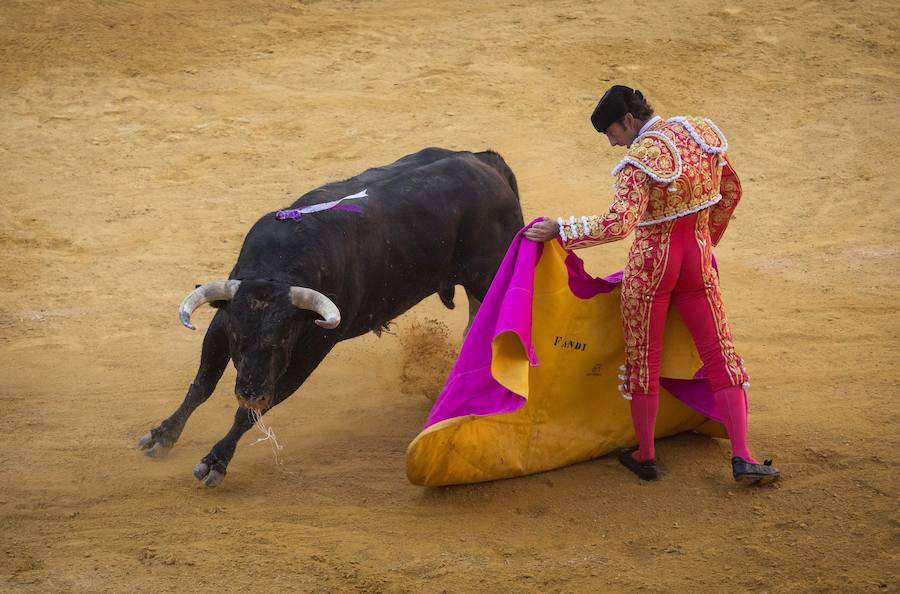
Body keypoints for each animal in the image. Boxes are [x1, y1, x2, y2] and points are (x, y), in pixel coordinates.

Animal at [137, 147, 524, 486]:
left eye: (282, 340)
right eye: (238, 339)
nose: (250, 393)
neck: (279, 269)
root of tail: (485, 162)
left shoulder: (310, 351)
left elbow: (251, 412)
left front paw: (215, 460)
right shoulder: (223, 319)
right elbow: (202, 384)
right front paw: (162, 436)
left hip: (490, 271)